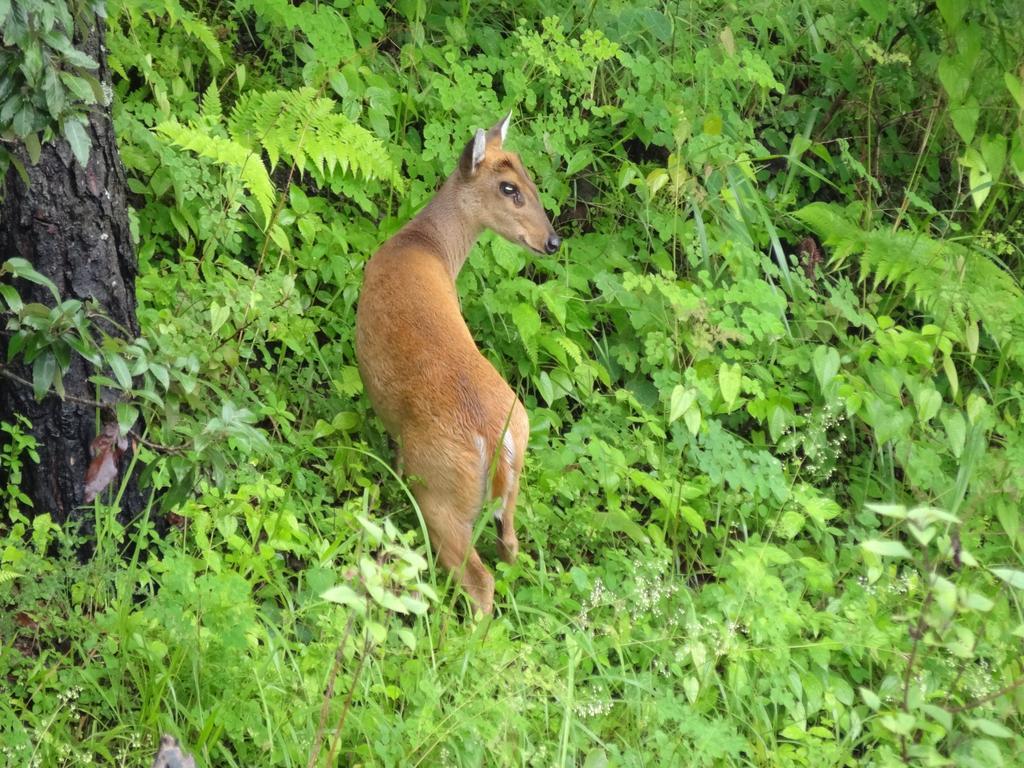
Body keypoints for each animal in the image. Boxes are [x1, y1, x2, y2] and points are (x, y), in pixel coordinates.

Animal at [356, 114, 565, 618]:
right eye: (513, 185)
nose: (553, 240)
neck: (425, 245)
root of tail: (495, 436)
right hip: (513, 479)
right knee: (510, 547)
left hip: (440, 490)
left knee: (478, 577)